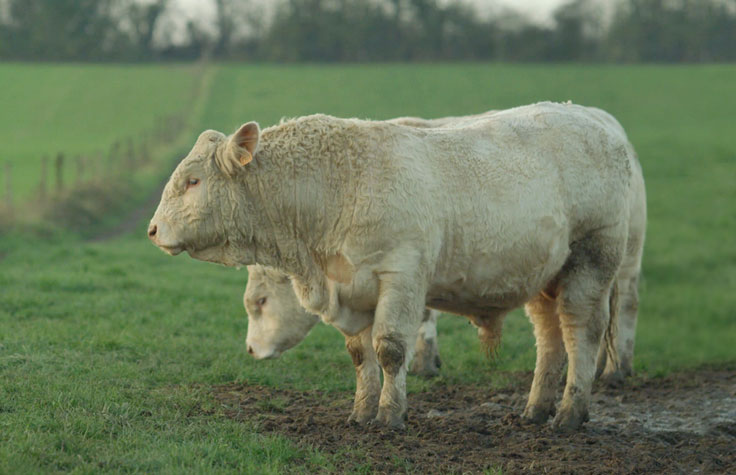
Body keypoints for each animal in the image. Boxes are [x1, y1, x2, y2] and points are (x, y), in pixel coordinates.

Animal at [148, 102, 646, 431]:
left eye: (193, 181)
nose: (152, 230)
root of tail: (596, 121)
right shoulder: (352, 291)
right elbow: (360, 355)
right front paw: (361, 412)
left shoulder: (402, 277)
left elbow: (390, 349)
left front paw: (390, 415)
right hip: (544, 278)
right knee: (549, 340)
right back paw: (536, 408)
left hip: (594, 262)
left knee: (583, 332)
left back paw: (570, 413)